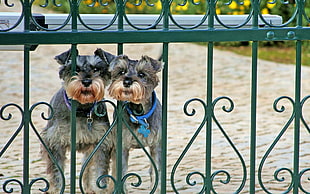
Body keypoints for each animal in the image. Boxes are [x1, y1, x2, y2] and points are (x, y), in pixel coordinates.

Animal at [40, 47, 115, 193]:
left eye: (96, 69)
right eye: (76, 69)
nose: (86, 82)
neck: (81, 109)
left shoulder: (101, 143)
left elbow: (98, 172)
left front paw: (99, 189)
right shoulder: (55, 142)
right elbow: (56, 173)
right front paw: (55, 189)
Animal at [108, 54, 163, 191]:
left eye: (142, 74)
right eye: (121, 72)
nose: (127, 82)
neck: (139, 114)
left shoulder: (156, 145)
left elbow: (157, 171)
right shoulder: (122, 147)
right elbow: (121, 172)